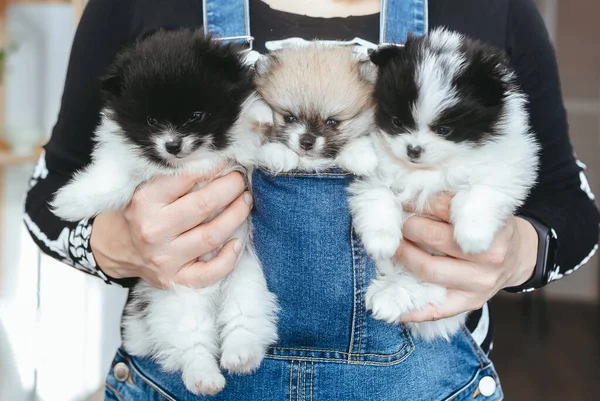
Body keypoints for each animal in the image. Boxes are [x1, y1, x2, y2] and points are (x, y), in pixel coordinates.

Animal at [51, 29, 276, 396]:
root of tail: (214, 295)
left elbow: (248, 126)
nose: (172, 145)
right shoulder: (130, 164)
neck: (191, 161)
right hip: (179, 299)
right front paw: (70, 201)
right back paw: (206, 377)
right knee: (191, 342)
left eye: (196, 115)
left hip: (246, 278)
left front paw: (261, 115)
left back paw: (238, 356)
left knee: (244, 319)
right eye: (152, 120)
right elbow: (112, 177)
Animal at [346, 28, 540, 340]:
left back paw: (392, 297)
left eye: (444, 129)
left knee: (425, 287)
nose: (413, 149)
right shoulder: (375, 175)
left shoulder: (505, 171)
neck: (430, 169)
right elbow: (379, 198)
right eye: (397, 122)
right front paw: (382, 241)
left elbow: (479, 194)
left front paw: (473, 236)